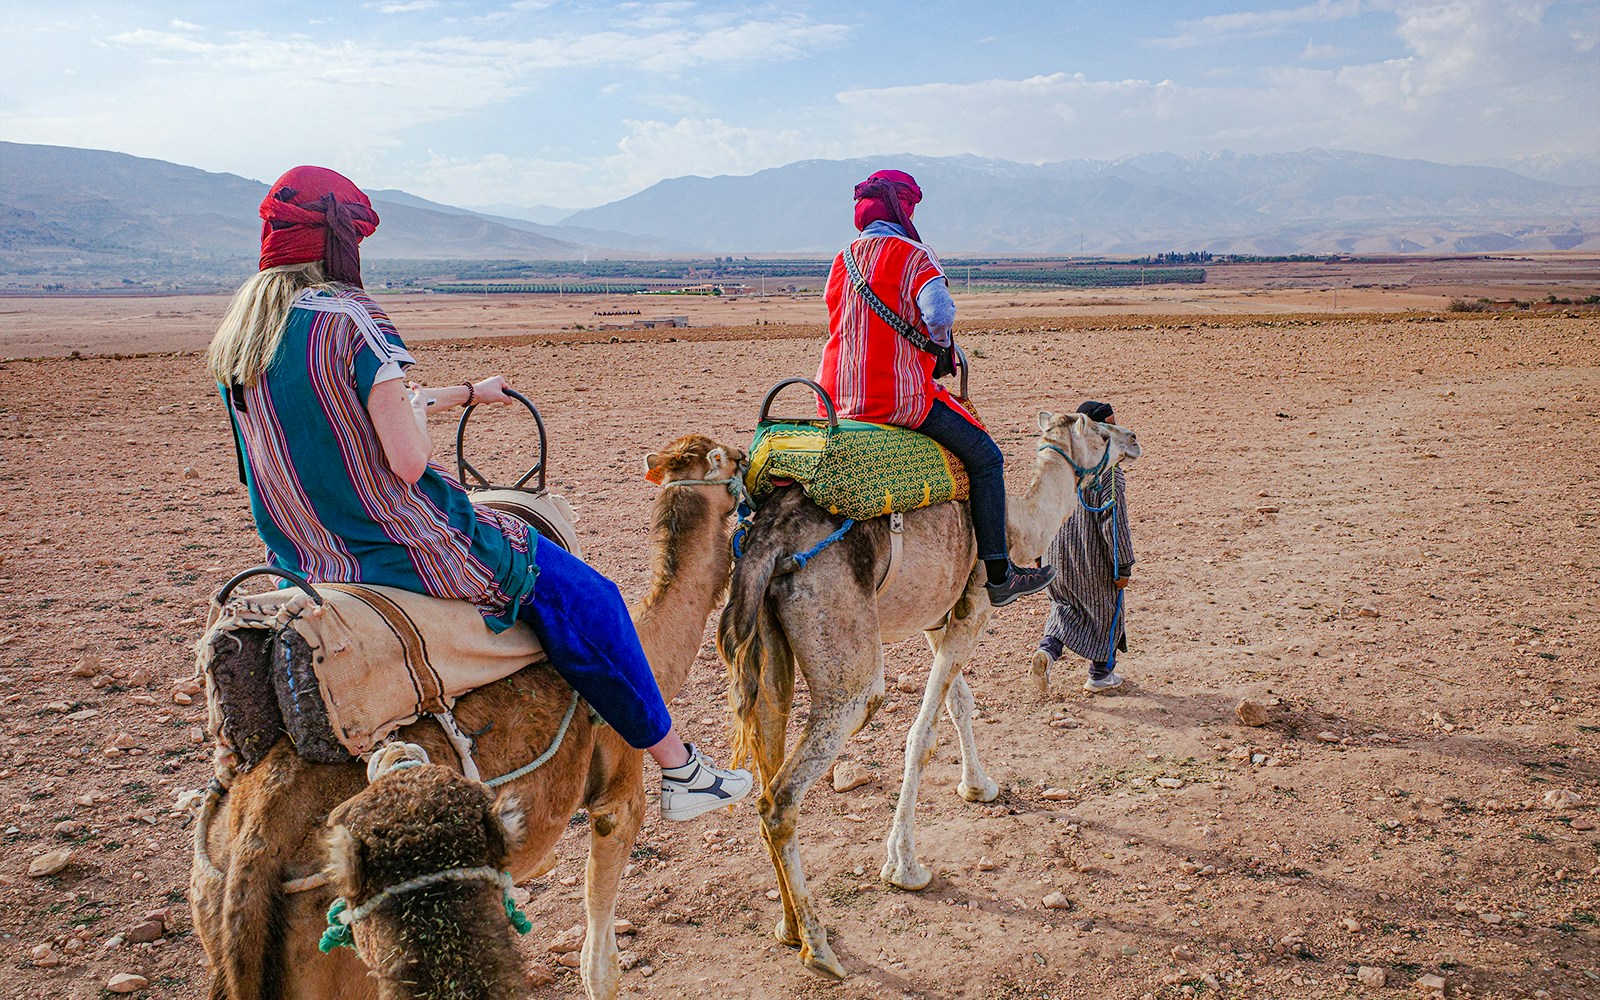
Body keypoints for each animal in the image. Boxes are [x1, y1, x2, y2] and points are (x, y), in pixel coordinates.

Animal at [190, 434, 745, 1000]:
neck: (652, 650)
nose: (749, 460)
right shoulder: (619, 793)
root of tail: (255, 844)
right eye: (731, 458)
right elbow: (599, 965)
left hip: (215, 913)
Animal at [719, 410, 1140, 978]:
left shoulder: (939, 618)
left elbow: (959, 704)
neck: (1019, 524)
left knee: (768, 747)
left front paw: (979, 787)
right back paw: (819, 948)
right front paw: (904, 866)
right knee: (782, 795)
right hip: (849, 667)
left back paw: (787, 929)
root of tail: (768, 542)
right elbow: (920, 735)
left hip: (766, 651)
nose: (1132, 439)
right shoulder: (975, 607)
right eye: (1098, 431)